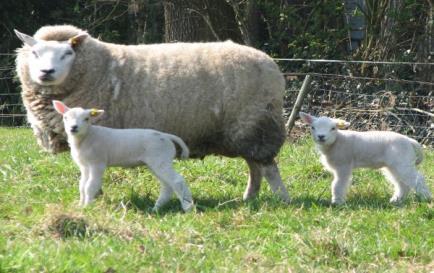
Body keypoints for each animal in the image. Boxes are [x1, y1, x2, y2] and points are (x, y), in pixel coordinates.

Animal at [52, 99, 193, 211]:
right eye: (65, 117)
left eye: (87, 119)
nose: (73, 127)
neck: (87, 137)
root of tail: (166, 136)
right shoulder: (85, 166)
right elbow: (82, 186)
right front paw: (80, 206)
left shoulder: (97, 164)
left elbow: (90, 186)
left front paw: (87, 207)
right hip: (157, 162)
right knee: (167, 186)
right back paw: (156, 208)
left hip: (160, 159)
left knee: (177, 181)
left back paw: (187, 208)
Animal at [300, 111, 432, 204]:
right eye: (312, 127)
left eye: (333, 128)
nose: (321, 136)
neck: (337, 141)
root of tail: (410, 141)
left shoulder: (343, 166)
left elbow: (338, 185)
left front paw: (337, 202)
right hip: (394, 165)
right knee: (402, 184)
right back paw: (396, 200)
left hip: (402, 162)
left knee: (417, 179)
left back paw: (427, 198)